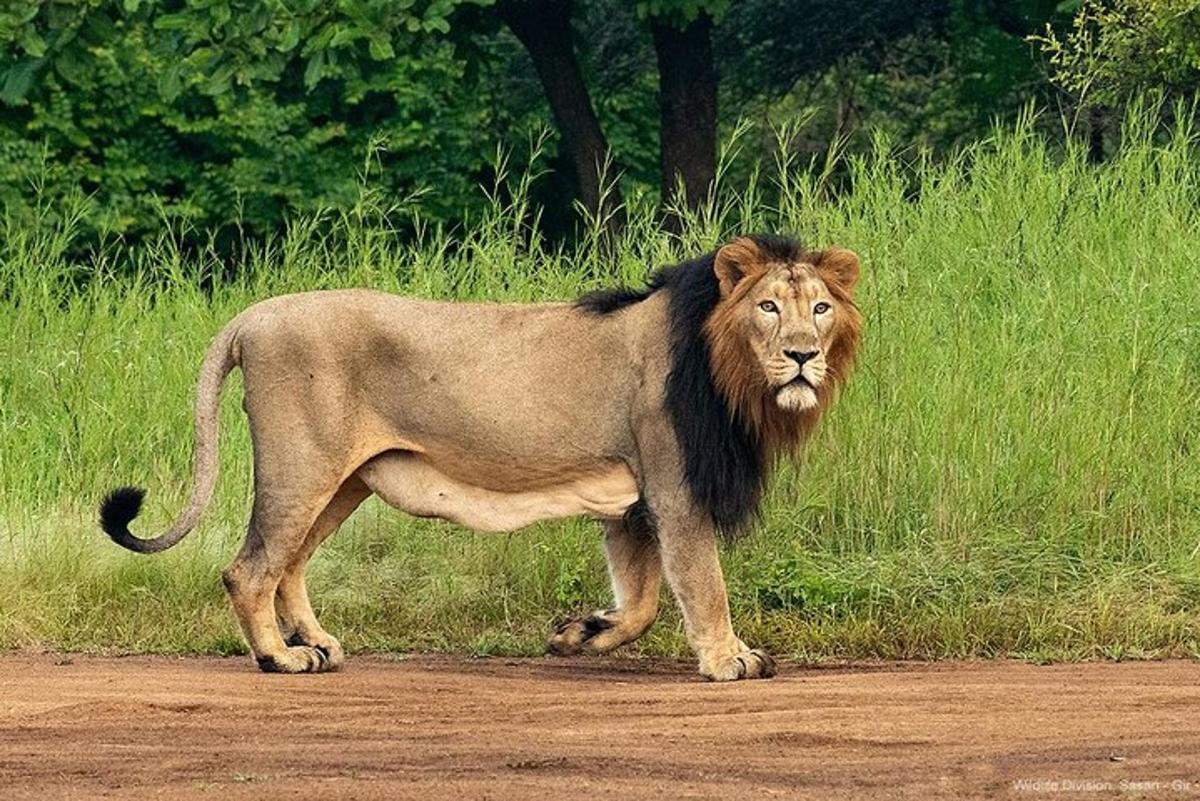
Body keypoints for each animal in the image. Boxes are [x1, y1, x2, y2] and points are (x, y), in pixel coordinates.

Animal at [99, 235, 862, 681]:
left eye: (820, 309)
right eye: (768, 307)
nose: (803, 355)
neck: (731, 373)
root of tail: (252, 315)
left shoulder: (630, 500)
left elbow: (641, 600)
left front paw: (579, 635)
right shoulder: (675, 487)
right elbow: (703, 582)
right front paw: (729, 658)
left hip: (344, 481)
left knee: (289, 563)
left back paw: (316, 644)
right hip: (302, 466)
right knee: (250, 567)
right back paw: (279, 657)